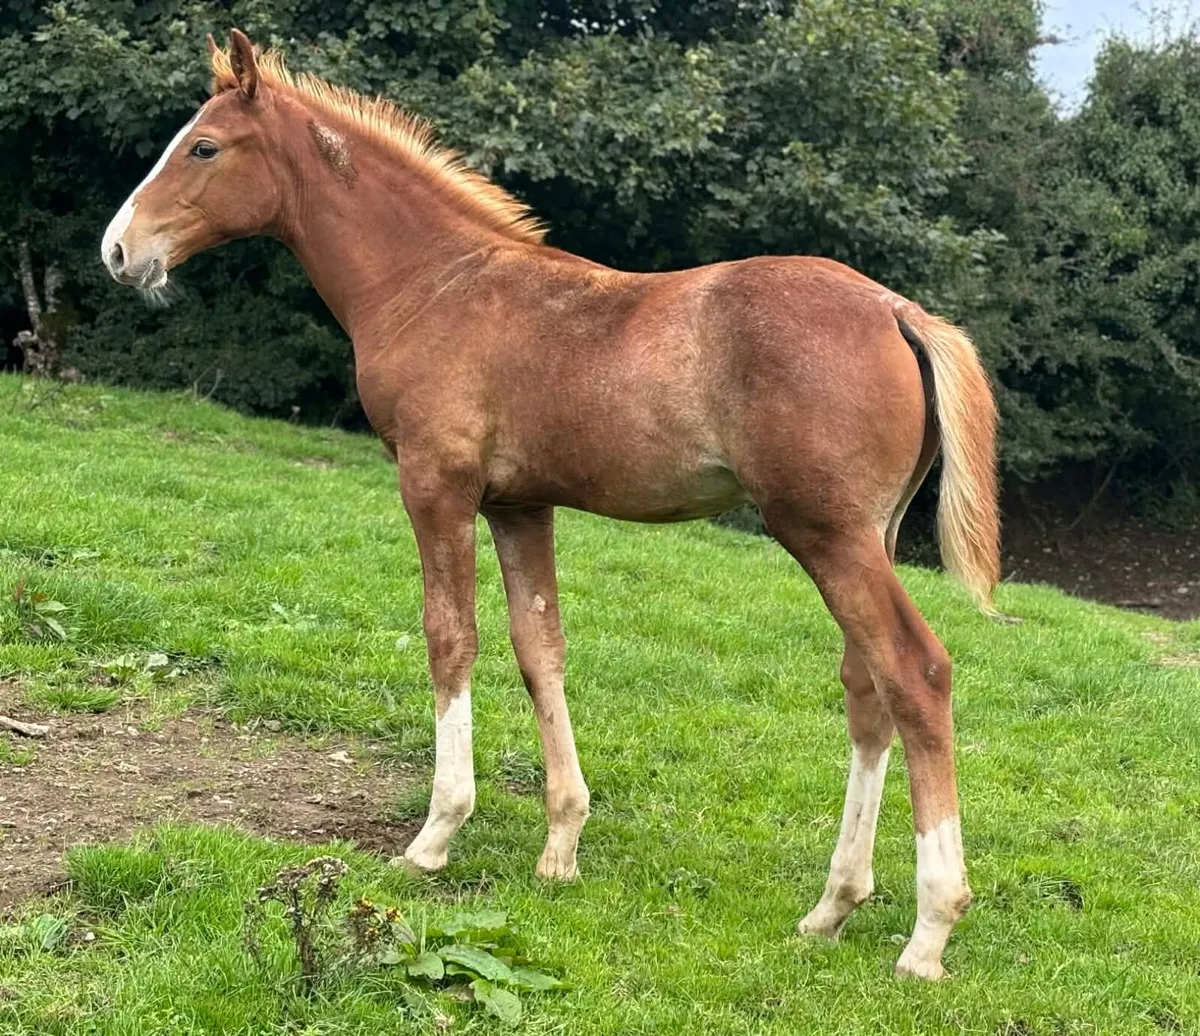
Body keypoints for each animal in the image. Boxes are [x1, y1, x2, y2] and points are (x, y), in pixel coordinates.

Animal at [101, 30, 1001, 981]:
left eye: (204, 147)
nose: (120, 251)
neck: (433, 282)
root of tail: (898, 309)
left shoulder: (437, 487)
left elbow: (450, 639)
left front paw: (435, 835)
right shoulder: (519, 506)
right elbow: (542, 650)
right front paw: (561, 844)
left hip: (825, 533)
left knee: (915, 673)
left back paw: (929, 931)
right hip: (864, 535)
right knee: (867, 689)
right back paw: (832, 907)